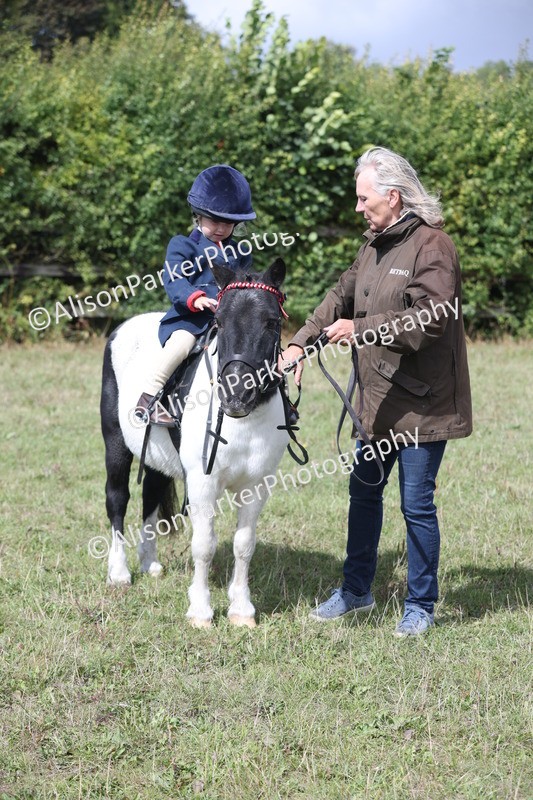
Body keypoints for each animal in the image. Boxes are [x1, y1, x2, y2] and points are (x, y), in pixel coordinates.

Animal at [100, 258, 291, 627]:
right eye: (218, 321)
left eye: (272, 322)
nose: (236, 395)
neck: (243, 420)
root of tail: (122, 328)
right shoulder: (203, 483)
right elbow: (204, 545)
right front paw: (201, 611)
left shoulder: (257, 485)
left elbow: (244, 544)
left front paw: (241, 609)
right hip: (115, 444)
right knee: (117, 499)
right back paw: (119, 572)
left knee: (150, 497)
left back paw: (150, 563)